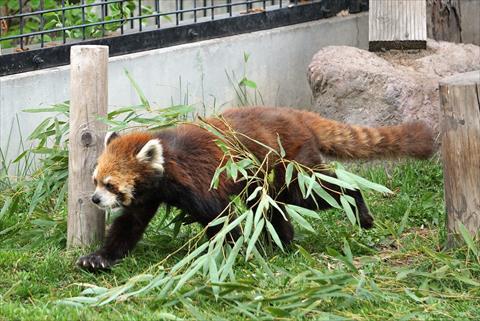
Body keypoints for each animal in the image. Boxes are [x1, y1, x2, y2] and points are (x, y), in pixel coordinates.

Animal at [77, 106, 434, 268]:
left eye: (110, 184)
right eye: (95, 181)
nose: (95, 199)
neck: (167, 161)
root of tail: (297, 115)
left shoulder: (199, 182)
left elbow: (220, 218)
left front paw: (233, 250)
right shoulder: (146, 196)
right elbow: (128, 226)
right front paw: (99, 258)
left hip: (291, 166)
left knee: (314, 193)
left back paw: (357, 206)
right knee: (273, 206)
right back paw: (282, 241)